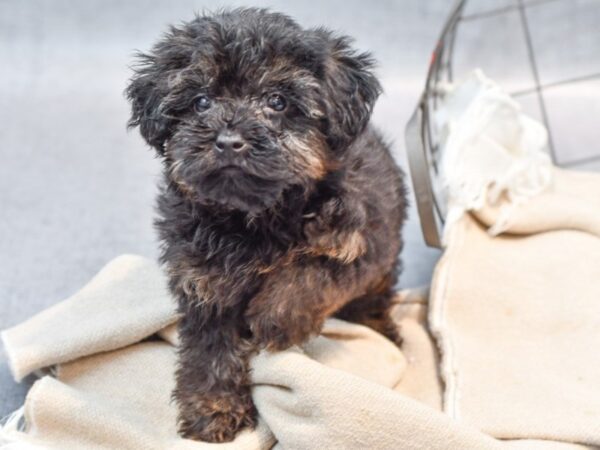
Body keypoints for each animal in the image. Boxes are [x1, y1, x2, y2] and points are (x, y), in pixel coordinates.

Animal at [126, 7, 408, 442]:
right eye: (201, 101)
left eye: (277, 101)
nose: (228, 140)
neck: (253, 218)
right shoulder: (202, 279)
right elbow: (210, 347)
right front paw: (213, 408)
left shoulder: (356, 241)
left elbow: (311, 272)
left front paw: (276, 319)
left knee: (374, 298)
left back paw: (382, 329)